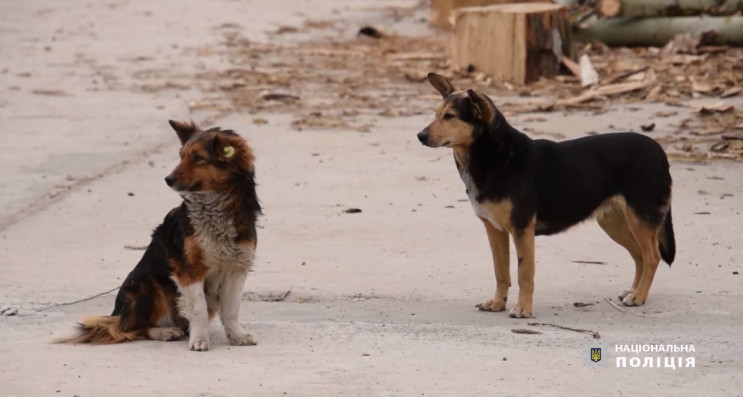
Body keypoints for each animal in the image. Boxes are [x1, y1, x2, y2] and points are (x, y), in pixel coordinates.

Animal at [58, 120, 262, 350]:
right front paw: (200, 339)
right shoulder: (189, 271)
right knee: (132, 329)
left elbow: (232, 309)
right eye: (181, 156)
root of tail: (118, 314)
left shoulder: (237, 268)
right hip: (148, 287)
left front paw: (237, 336)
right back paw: (164, 331)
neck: (214, 206)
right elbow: (199, 309)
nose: (168, 179)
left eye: (198, 158)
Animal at [416, 72, 676, 318]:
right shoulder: (495, 230)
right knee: (639, 255)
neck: (496, 155)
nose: (420, 135)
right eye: (436, 114)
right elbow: (501, 272)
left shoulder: (522, 230)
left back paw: (639, 296)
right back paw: (634, 291)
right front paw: (498, 303)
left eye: (450, 116)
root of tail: (661, 152)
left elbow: (524, 273)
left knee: (652, 256)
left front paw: (523, 309)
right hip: (614, 222)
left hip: (639, 218)